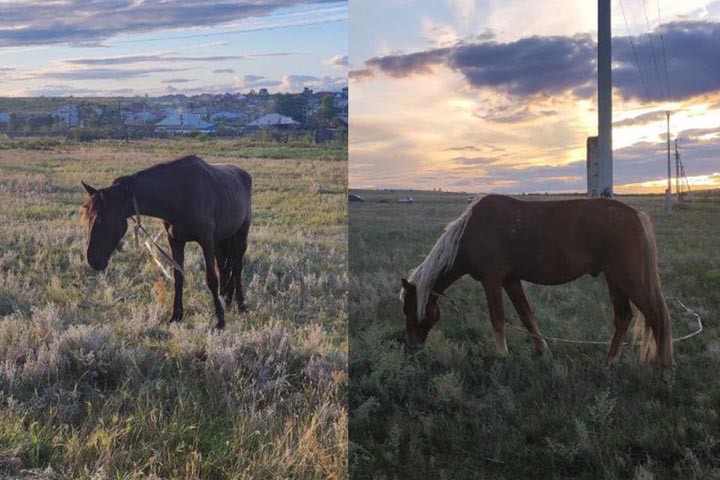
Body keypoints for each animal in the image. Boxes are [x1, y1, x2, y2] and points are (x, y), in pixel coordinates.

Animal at [79, 156, 250, 328]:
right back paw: (226, 300)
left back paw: (241, 305)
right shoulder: (175, 241)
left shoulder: (206, 240)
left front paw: (220, 319)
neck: (180, 193)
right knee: (223, 267)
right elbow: (178, 277)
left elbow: (211, 279)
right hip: (222, 239)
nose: (92, 259)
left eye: (102, 220)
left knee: (237, 266)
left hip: (241, 234)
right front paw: (176, 315)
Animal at [402, 193, 672, 366]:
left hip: (627, 278)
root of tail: (635, 215)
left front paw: (502, 355)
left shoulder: (492, 280)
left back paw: (663, 367)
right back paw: (610, 362)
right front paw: (542, 351)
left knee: (656, 316)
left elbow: (497, 317)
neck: (470, 232)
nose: (411, 347)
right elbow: (526, 316)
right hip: (614, 279)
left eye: (408, 308)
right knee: (623, 317)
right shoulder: (510, 280)